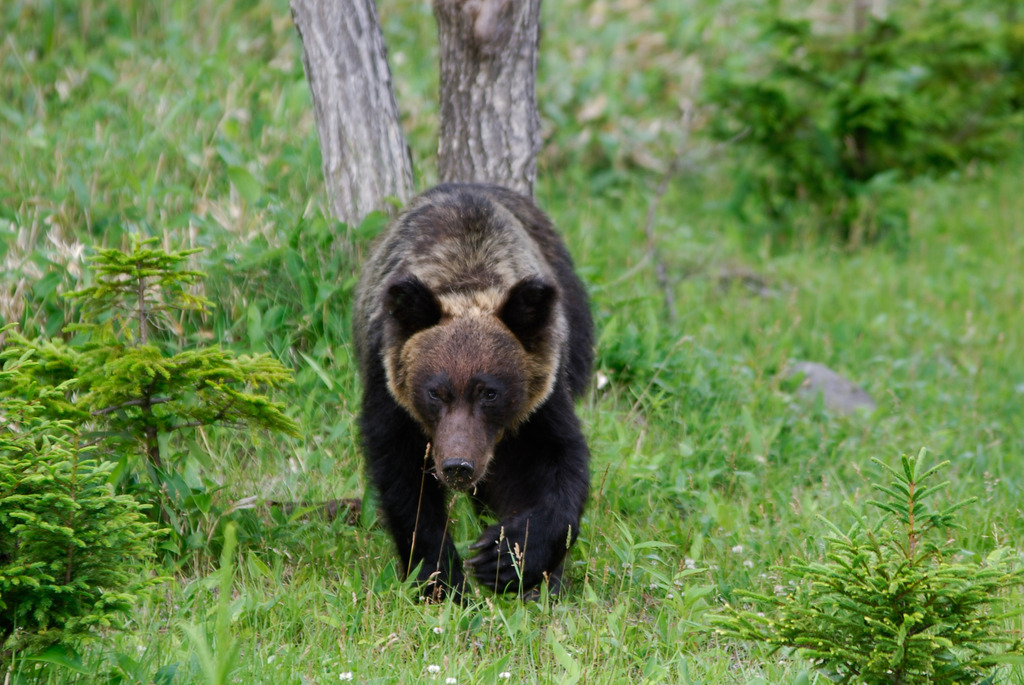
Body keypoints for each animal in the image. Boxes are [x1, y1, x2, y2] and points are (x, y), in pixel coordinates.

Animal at [352, 181, 593, 597]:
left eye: (489, 392)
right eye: (435, 391)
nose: (458, 466)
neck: (467, 276)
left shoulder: (542, 400)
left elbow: (560, 466)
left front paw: (507, 558)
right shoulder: (389, 392)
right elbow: (405, 483)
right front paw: (441, 580)